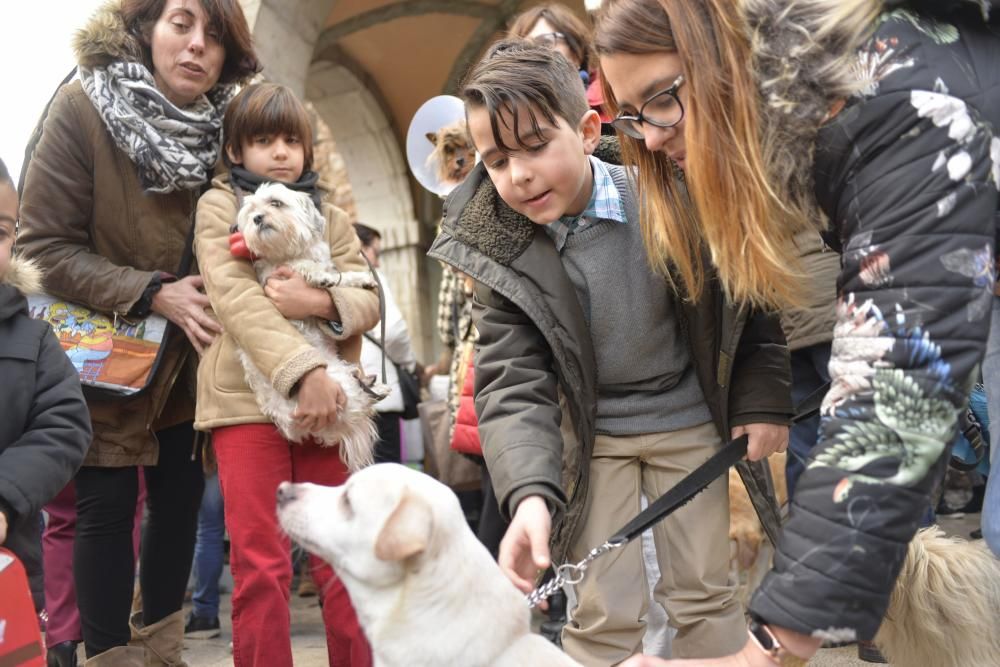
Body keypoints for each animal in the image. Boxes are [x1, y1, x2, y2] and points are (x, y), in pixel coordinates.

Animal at [236, 183, 388, 472]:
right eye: (251, 211)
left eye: (275, 203)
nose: (257, 218)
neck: (288, 251)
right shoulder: (274, 275)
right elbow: (304, 267)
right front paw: (319, 276)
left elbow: (341, 277)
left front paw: (361, 279)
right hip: (336, 383)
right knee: (361, 401)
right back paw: (374, 390)